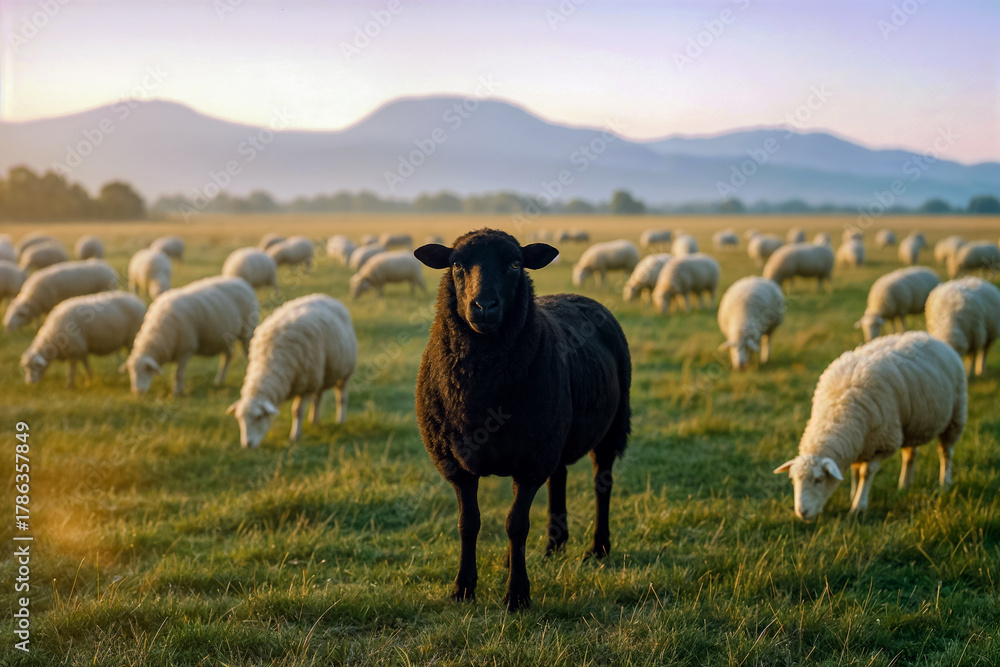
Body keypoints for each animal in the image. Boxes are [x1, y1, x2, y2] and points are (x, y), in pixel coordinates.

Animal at [125, 276, 258, 395]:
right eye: (130, 372)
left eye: (146, 369)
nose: (137, 392)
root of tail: (241, 282)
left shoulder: (186, 349)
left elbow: (178, 374)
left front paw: (177, 392)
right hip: (226, 339)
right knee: (228, 356)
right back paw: (219, 380)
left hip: (247, 332)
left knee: (248, 353)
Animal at [226, 294, 357, 447]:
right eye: (239, 419)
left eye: (259, 417)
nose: (247, 444)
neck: (271, 360)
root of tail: (325, 296)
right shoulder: (312, 380)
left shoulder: (306, 385)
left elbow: (297, 411)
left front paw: (295, 436)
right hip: (321, 373)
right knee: (318, 398)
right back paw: (315, 421)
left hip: (344, 372)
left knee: (341, 397)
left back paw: (340, 420)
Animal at [413, 228, 631, 611]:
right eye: (456, 264)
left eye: (516, 263)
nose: (484, 307)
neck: (480, 393)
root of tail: (578, 295)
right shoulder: (456, 463)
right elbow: (468, 523)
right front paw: (463, 588)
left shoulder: (530, 461)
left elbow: (516, 524)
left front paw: (516, 595)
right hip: (556, 436)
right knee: (559, 478)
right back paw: (553, 547)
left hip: (610, 428)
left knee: (601, 484)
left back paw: (598, 548)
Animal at [774, 332, 966, 520]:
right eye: (793, 480)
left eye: (819, 479)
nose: (802, 513)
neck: (837, 411)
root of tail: (930, 336)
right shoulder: (859, 442)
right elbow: (854, 470)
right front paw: (853, 494)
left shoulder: (882, 443)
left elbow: (866, 473)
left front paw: (858, 505)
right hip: (912, 424)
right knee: (910, 454)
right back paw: (904, 485)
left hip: (955, 416)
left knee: (946, 453)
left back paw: (945, 483)